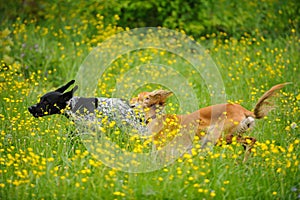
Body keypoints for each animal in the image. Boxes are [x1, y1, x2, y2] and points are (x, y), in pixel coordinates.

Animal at [132, 82, 290, 160]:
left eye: (146, 98)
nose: (132, 103)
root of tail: (243, 110)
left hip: (220, 137)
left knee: (250, 142)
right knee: (251, 141)